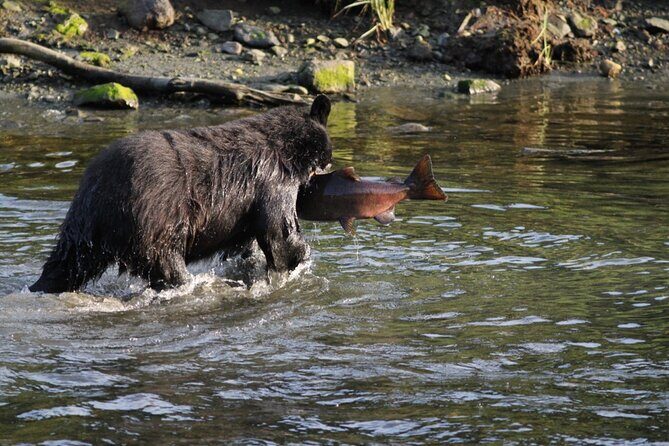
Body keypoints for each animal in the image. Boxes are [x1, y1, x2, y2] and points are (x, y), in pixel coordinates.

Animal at [29, 95, 333, 293]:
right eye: (326, 159)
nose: (330, 163)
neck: (287, 148)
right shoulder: (271, 179)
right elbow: (279, 232)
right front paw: (298, 259)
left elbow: (249, 245)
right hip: (154, 222)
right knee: (167, 264)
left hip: (82, 228)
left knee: (65, 263)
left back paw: (40, 286)